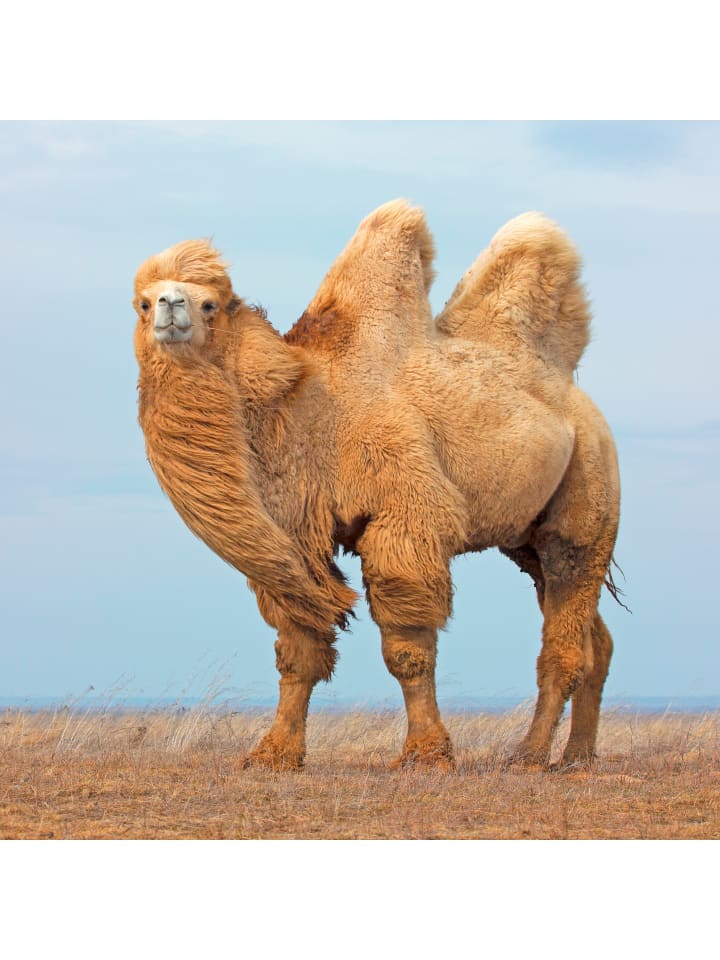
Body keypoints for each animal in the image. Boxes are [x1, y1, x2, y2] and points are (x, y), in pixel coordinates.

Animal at [133, 200, 620, 770]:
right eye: (142, 303)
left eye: (211, 304)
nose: (170, 307)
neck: (306, 408)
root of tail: (577, 399)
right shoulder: (297, 539)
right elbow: (298, 649)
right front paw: (274, 754)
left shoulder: (405, 513)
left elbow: (406, 648)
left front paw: (426, 754)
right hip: (526, 537)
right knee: (593, 638)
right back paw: (578, 757)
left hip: (589, 487)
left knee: (565, 624)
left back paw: (529, 755)